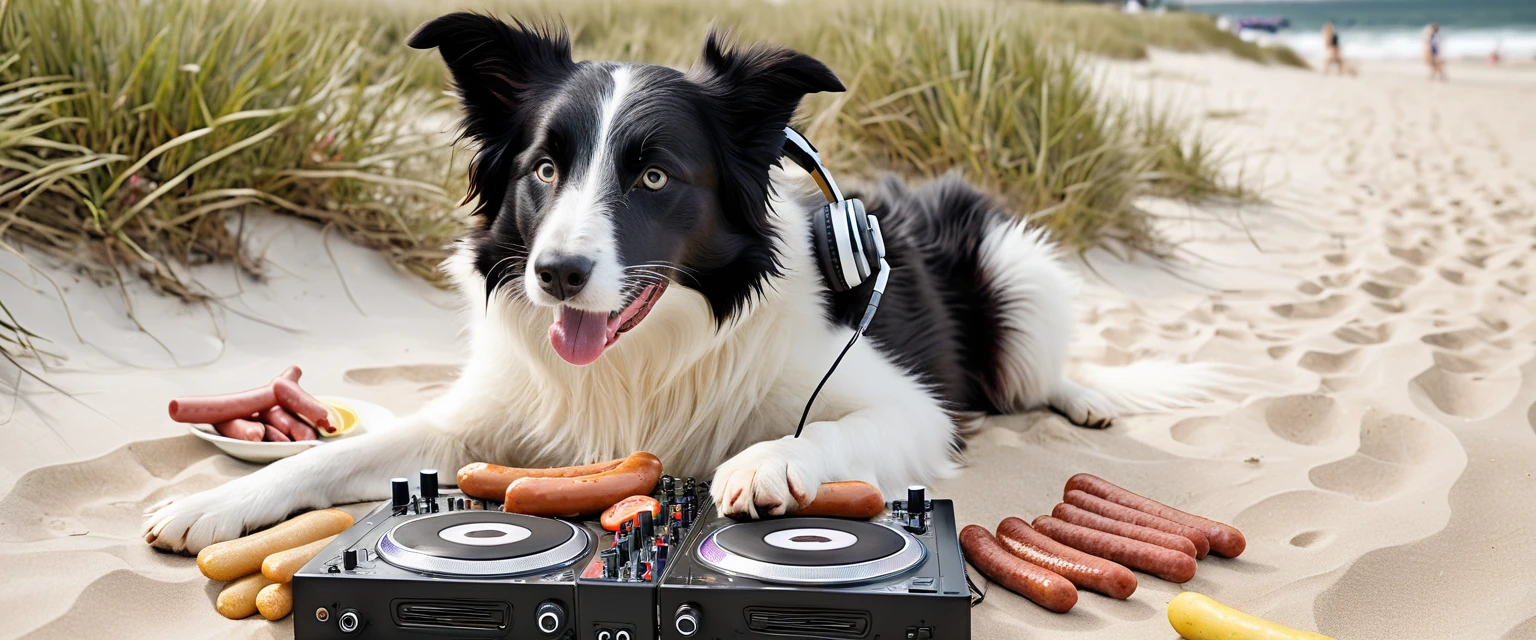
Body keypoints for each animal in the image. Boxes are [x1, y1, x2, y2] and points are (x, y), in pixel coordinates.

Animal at [146, 14, 1222, 552]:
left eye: (655, 177)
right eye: (545, 168)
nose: (557, 274)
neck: (649, 355)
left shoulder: (911, 406)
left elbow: (826, 432)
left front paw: (767, 465)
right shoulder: (481, 423)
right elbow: (344, 456)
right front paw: (219, 504)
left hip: (1018, 272)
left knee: (1041, 370)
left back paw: (1083, 400)